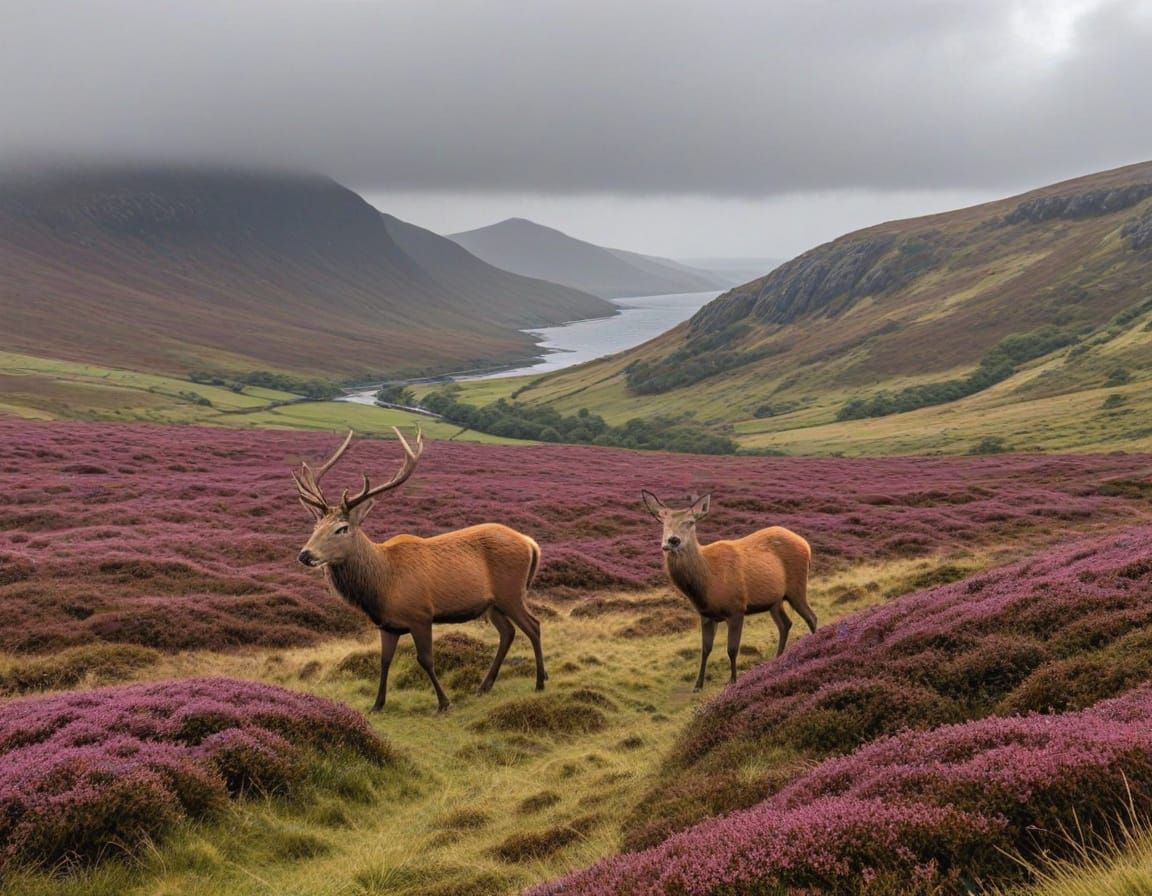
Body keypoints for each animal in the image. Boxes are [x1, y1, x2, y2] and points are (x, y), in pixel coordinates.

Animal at [293, 429, 545, 713]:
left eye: (342, 528)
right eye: (315, 525)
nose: (305, 555)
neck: (383, 585)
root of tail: (530, 543)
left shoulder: (421, 614)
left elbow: (425, 659)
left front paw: (444, 702)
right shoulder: (387, 625)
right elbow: (383, 661)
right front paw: (377, 704)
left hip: (511, 593)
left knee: (533, 626)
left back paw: (539, 682)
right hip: (492, 604)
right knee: (508, 632)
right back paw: (485, 686)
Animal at [641, 490, 815, 691]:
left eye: (690, 522)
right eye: (662, 520)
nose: (673, 540)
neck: (707, 586)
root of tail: (806, 544)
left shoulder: (736, 608)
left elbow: (732, 649)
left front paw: (733, 681)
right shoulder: (706, 614)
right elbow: (705, 649)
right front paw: (698, 684)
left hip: (797, 587)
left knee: (811, 617)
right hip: (775, 601)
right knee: (785, 624)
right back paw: (777, 660)